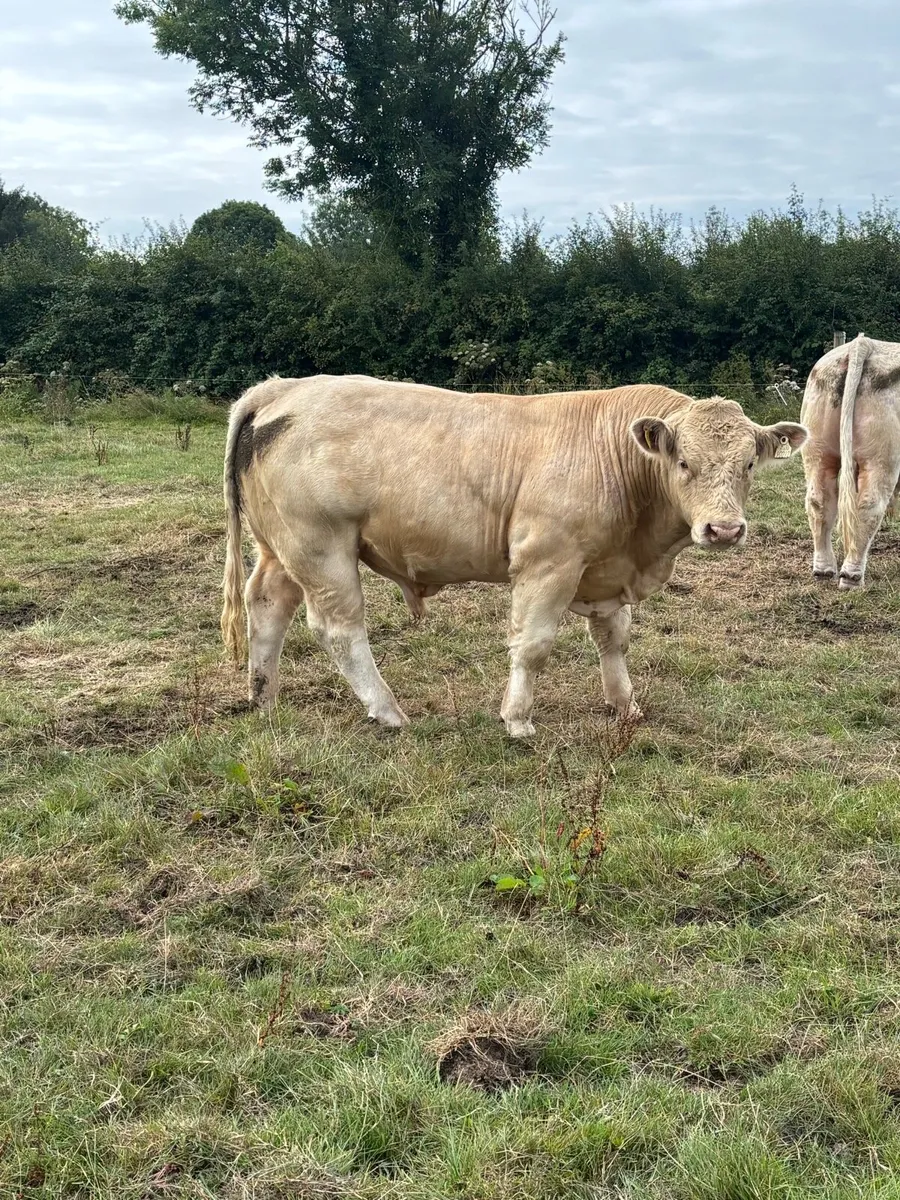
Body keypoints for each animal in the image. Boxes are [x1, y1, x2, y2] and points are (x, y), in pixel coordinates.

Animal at [220, 375, 807, 737]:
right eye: (684, 462)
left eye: (749, 464)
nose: (724, 529)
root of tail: (282, 388)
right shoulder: (550, 562)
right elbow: (534, 645)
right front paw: (518, 719)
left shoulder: (605, 569)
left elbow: (613, 642)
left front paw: (625, 706)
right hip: (322, 546)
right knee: (340, 630)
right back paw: (386, 711)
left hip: (280, 548)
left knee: (267, 605)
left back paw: (263, 696)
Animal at [801, 335, 900, 588]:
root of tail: (864, 343)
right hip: (882, 457)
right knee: (869, 506)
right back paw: (852, 576)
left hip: (817, 450)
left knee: (819, 501)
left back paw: (824, 570)